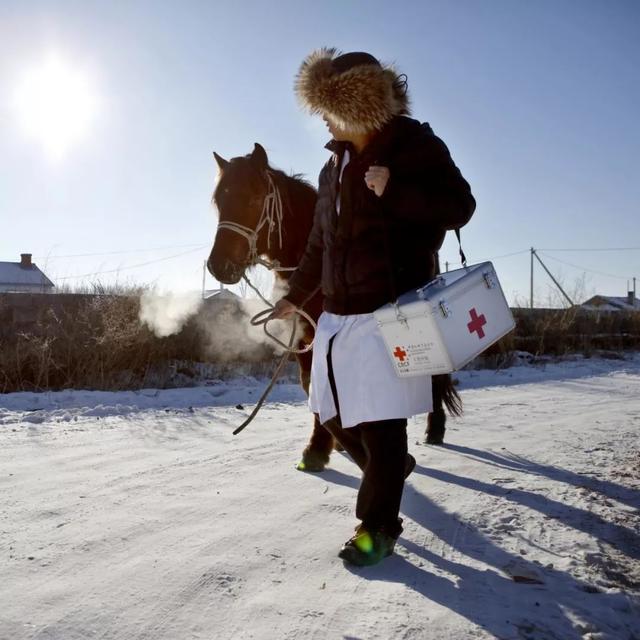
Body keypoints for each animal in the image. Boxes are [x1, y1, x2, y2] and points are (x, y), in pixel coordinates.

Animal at [209, 142, 460, 468]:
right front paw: (328, 444)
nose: (218, 266)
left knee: (435, 376)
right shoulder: (304, 335)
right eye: (218, 201)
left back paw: (434, 428)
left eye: (253, 198)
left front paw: (325, 448)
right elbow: (313, 385)